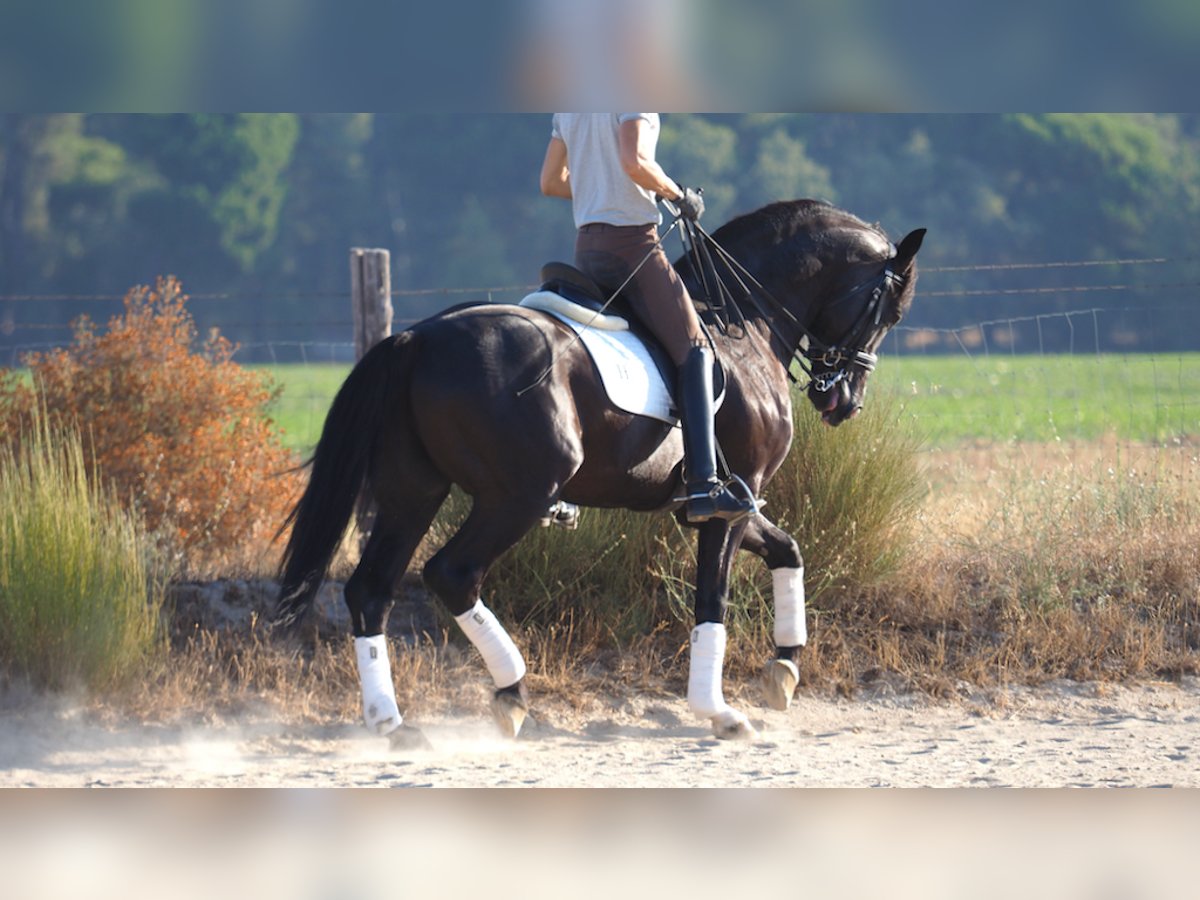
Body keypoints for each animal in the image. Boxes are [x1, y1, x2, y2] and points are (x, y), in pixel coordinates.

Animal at [276, 200, 921, 744]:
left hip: (414, 494)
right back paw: (510, 692)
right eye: (889, 311)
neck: (745, 323)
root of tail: (415, 338)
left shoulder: (734, 499)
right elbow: (712, 598)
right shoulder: (728, 503)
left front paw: (784, 667)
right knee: (452, 574)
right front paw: (718, 711)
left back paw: (392, 723)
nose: (843, 401)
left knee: (371, 591)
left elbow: (788, 549)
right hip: (518, 495)